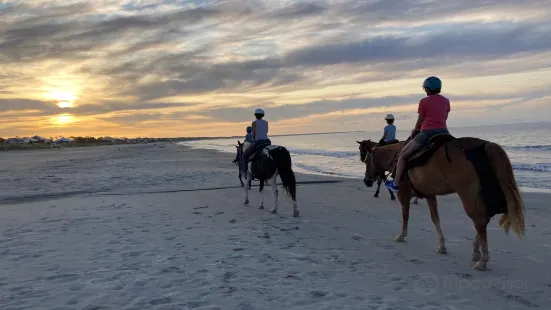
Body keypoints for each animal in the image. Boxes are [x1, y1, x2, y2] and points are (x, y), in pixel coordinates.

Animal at [364, 134, 524, 270]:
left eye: (366, 161)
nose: (366, 181)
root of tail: (486, 144)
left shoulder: (403, 193)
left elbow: (405, 215)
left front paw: (402, 235)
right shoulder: (430, 195)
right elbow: (435, 219)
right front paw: (442, 246)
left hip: (468, 195)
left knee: (480, 221)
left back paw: (482, 260)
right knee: (485, 218)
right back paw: (476, 251)